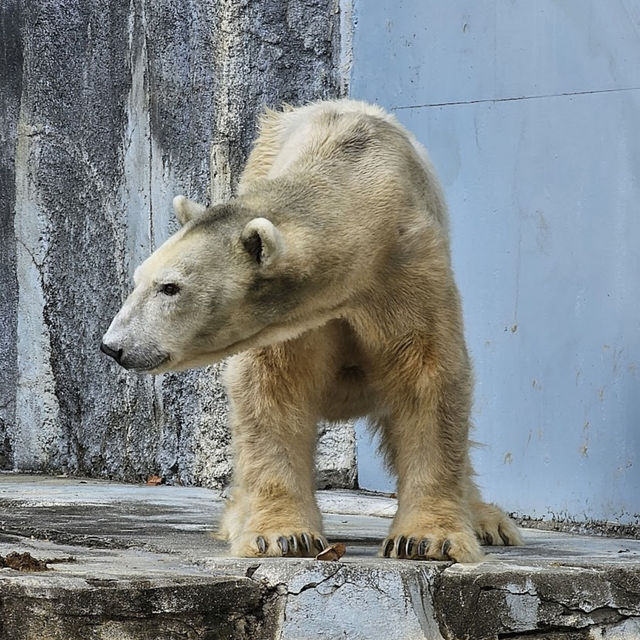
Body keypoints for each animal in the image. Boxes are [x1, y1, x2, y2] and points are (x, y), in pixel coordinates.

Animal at [100, 97, 520, 564]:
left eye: (170, 287)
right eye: (138, 279)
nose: (113, 346)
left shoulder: (407, 269)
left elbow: (427, 377)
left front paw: (427, 540)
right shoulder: (290, 324)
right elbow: (272, 389)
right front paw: (282, 536)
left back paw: (487, 520)